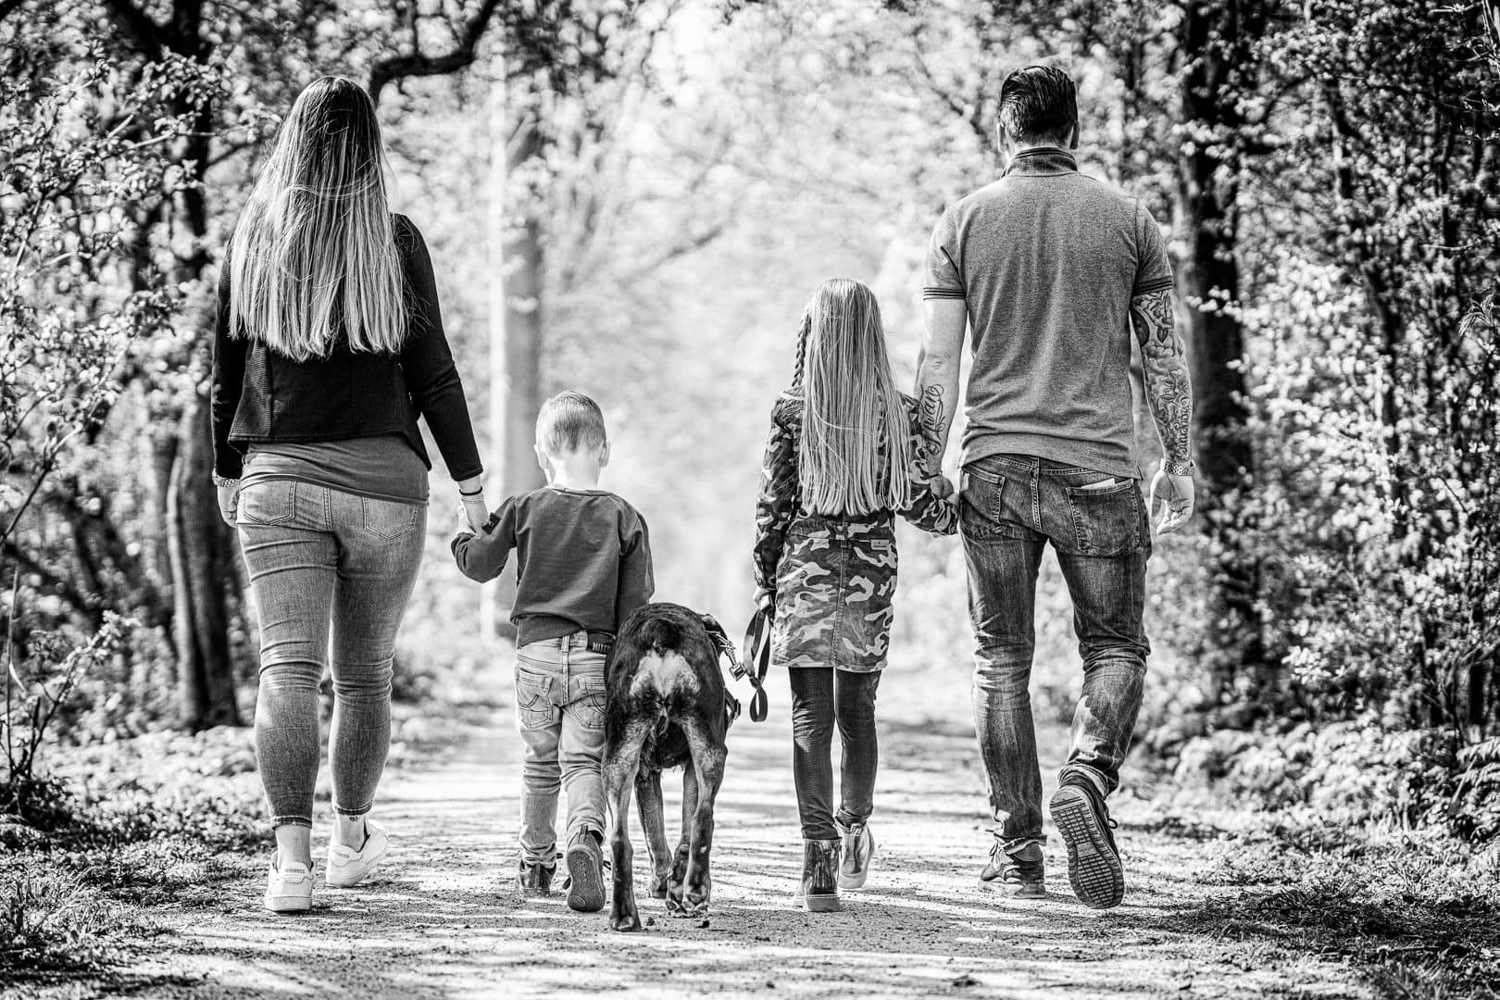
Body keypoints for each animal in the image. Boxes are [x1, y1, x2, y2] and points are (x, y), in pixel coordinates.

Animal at [602, 602, 734, 932]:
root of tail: (660, 628)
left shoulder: (646, 774)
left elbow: (657, 834)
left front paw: (668, 885)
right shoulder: (677, 771)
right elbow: (673, 832)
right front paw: (673, 886)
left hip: (619, 754)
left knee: (620, 838)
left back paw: (624, 915)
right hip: (708, 747)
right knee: (703, 818)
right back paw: (695, 890)